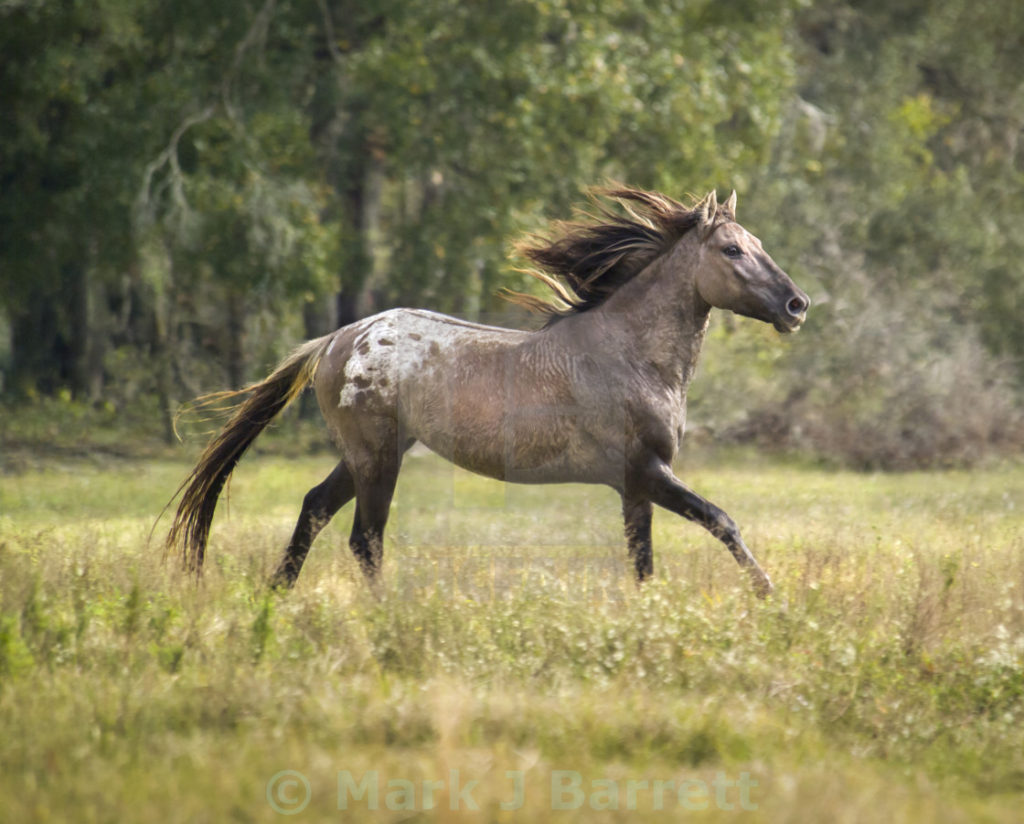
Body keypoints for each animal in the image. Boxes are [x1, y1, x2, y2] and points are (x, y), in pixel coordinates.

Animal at [165, 186, 806, 597]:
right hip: (377, 459)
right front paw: (769, 594)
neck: (631, 355)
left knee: (315, 508)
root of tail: (335, 341)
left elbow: (642, 559)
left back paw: (277, 595)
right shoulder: (645, 470)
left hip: (369, 454)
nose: (797, 305)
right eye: (732, 249)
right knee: (365, 540)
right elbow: (721, 520)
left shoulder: (635, 485)